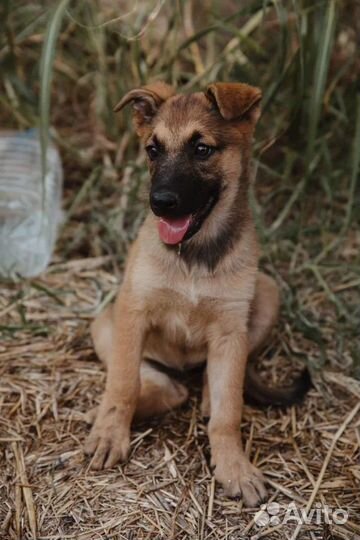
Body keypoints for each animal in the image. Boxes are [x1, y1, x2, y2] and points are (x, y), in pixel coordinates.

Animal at [85, 80, 310, 506]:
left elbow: (228, 410)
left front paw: (234, 467)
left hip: (268, 293)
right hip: (106, 322)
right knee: (160, 388)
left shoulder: (231, 329)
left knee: (214, 382)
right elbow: (122, 384)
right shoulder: (133, 312)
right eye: (152, 150)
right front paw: (109, 434)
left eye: (202, 149)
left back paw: (204, 395)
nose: (160, 203)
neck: (194, 253)